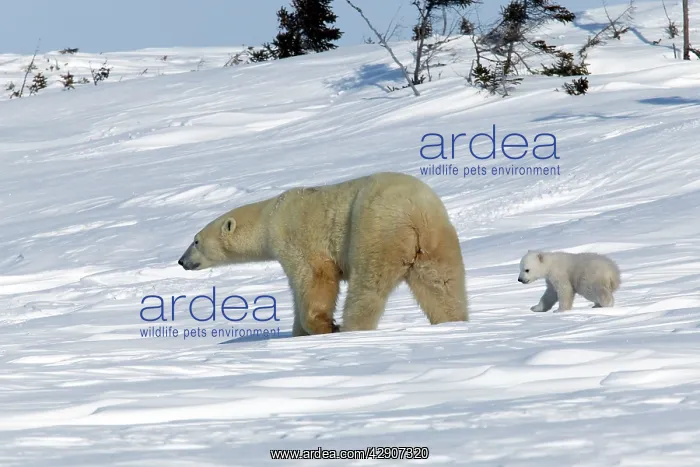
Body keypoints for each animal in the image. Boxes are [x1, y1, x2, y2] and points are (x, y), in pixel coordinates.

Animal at [177, 172, 468, 336]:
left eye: (195, 241)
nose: (181, 261)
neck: (270, 217)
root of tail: (415, 212)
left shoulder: (297, 237)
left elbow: (314, 278)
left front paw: (325, 326)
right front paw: (298, 334)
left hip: (374, 229)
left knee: (367, 286)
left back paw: (351, 328)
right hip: (436, 240)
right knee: (442, 284)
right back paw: (452, 321)